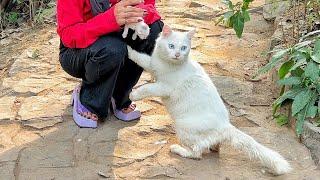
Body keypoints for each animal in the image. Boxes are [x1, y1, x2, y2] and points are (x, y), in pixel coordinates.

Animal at [127, 24, 292, 175]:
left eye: (183, 48)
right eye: (171, 46)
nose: (177, 54)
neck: (167, 64)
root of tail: (225, 125)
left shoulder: (164, 87)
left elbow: (147, 88)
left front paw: (133, 95)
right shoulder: (152, 65)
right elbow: (140, 57)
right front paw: (127, 48)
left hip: (183, 127)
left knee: (197, 153)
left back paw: (178, 149)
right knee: (212, 145)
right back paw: (212, 147)